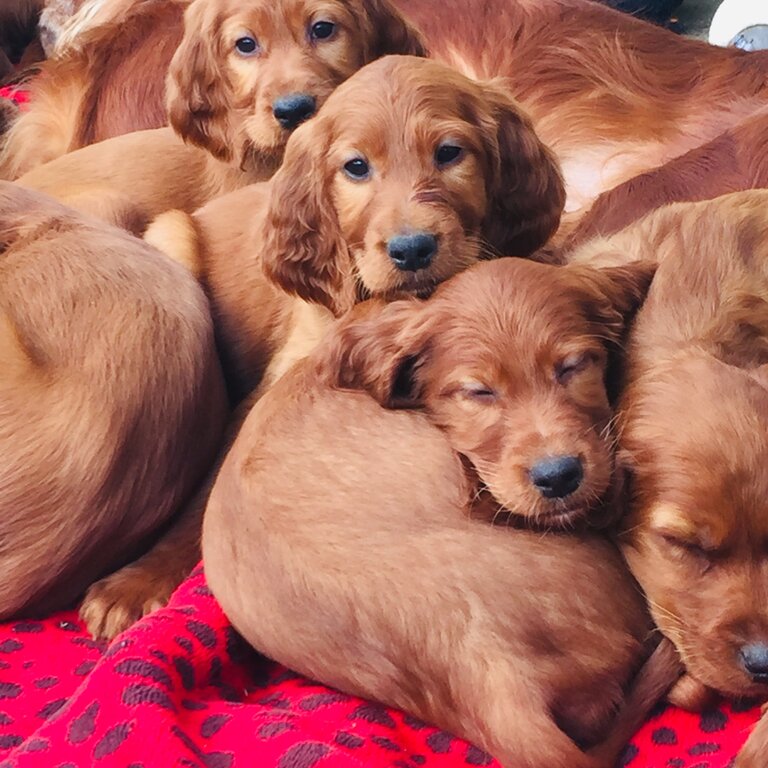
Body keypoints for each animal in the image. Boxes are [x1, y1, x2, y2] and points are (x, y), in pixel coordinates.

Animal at [81, 54, 568, 640]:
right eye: (356, 168)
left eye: (450, 153)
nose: (411, 249)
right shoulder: (265, 394)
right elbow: (203, 497)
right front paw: (137, 581)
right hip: (171, 237)